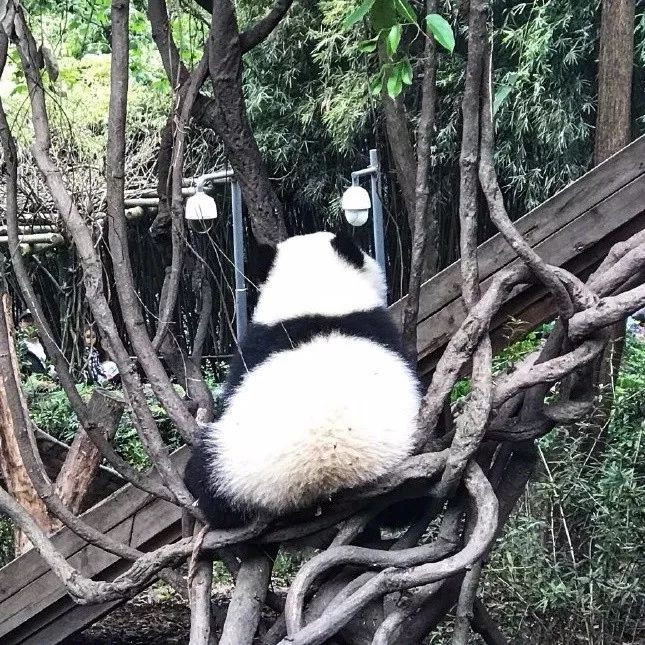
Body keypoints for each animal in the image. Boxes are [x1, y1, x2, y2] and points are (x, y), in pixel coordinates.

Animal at [184, 231, 420, 528]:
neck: (315, 298)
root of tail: (324, 471)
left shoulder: (253, 347)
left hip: (229, 461)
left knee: (206, 476)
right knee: (405, 505)